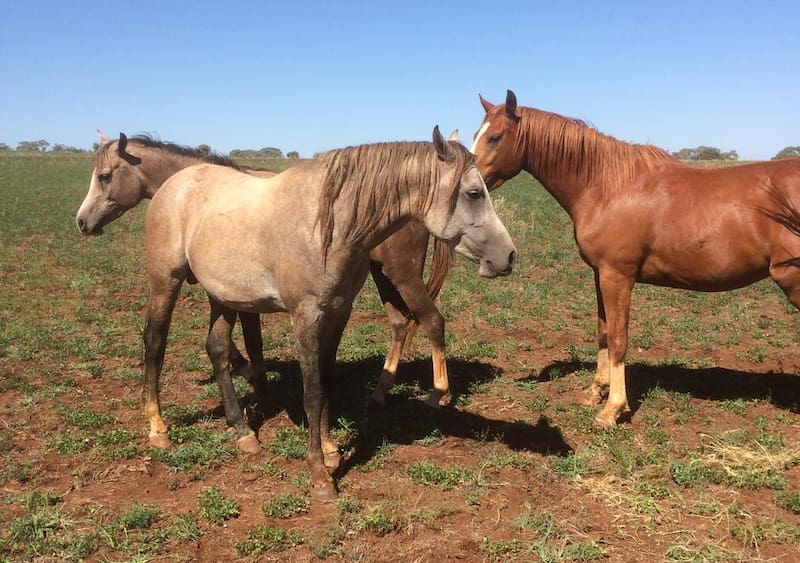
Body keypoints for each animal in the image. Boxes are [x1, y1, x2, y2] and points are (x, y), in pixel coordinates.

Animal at [77, 132, 464, 408]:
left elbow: (251, 341)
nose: (82, 221)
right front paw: (250, 375)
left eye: (105, 176)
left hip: (401, 274)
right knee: (400, 322)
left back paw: (436, 394)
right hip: (383, 276)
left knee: (432, 321)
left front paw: (256, 381)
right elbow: (241, 341)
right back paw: (380, 392)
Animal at [142, 127, 515, 499]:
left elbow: (325, 381)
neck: (328, 226)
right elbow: (312, 393)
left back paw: (244, 432)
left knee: (217, 349)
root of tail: (174, 184)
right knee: (155, 343)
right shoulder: (306, 317)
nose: (509, 255)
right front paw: (320, 476)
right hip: (165, 280)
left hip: (222, 296)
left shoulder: (338, 313)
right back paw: (158, 428)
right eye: (473, 193)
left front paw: (331, 449)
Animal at [471, 90, 800, 428]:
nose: (471, 185)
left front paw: (613, 409)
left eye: (495, 137)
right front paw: (595, 392)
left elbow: (618, 339)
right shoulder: (600, 274)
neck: (607, 187)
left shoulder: (617, 276)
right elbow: (604, 333)